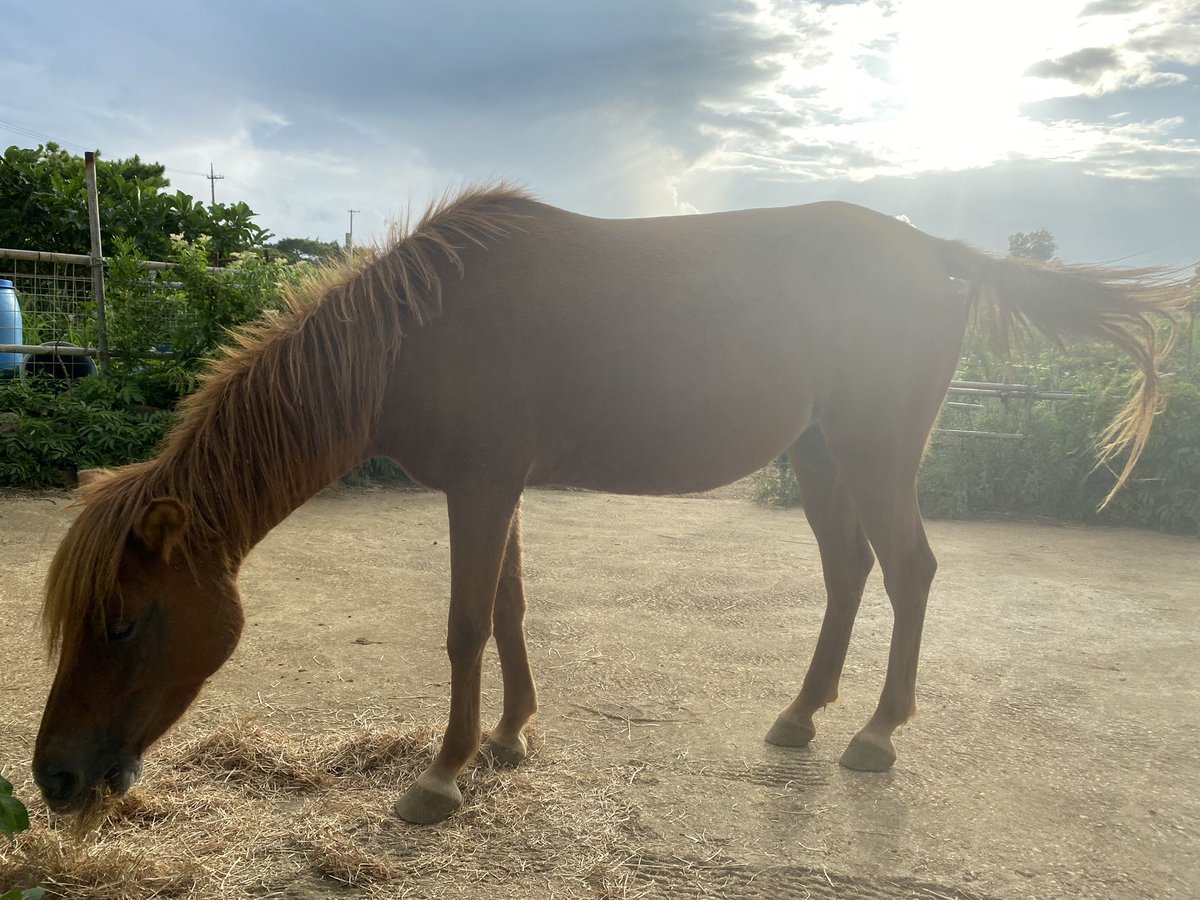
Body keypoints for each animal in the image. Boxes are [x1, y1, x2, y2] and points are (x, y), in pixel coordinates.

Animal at [32, 187, 1185, 830]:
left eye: (123, 621)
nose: (54, 779)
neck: (414, 336)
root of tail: (936, 252)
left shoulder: (483, 485)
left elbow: (465, 624)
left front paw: (442, 777)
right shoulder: (495, 487)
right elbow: (507, 610)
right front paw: (508, 739)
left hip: (875, 449)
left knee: (908, 571)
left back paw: (875, 734)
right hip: (820, 454)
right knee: (849, 572)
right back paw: (801, 717)